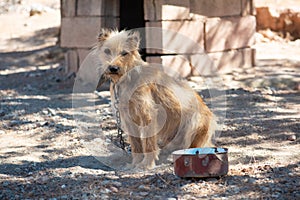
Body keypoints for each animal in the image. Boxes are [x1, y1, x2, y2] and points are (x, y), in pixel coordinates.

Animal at [96, 28, 216, 170]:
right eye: (107, 51)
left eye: (124, 53)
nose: (113, 68)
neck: (127, 77)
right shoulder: (128, 119)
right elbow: (136, 144)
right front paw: (135, 163)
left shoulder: (148, 116)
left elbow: (148, 144)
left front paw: (147, 164)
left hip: (195, 122)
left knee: (195, 146)